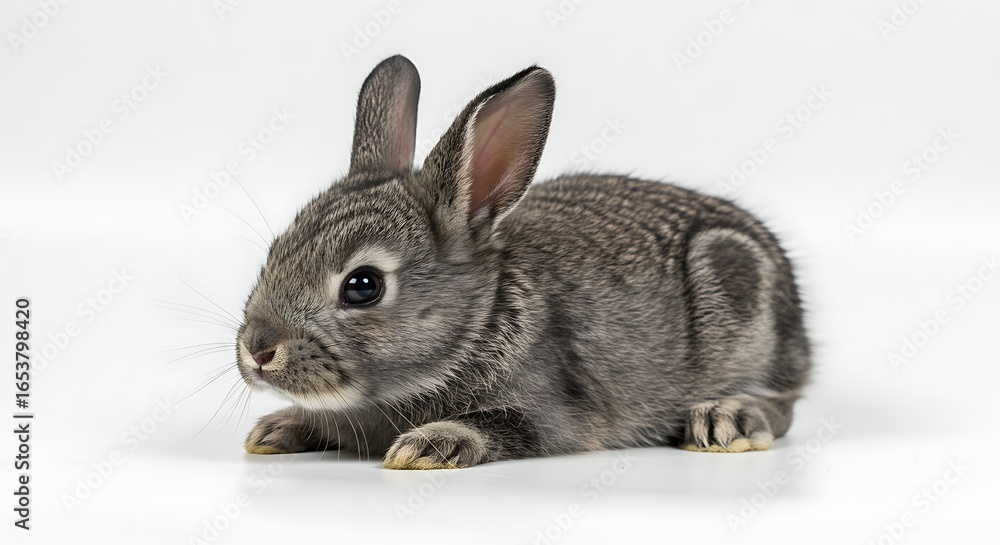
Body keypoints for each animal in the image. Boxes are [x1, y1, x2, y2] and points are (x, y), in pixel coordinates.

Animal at [236, 55, 811, 469]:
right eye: (274, 253)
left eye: (363, 285)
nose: (258, 350)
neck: (477, 326)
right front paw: (277, 429)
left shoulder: (550, 415)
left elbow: (508, 428)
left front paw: (428, 446)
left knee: (783, 402)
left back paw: (725, 418)